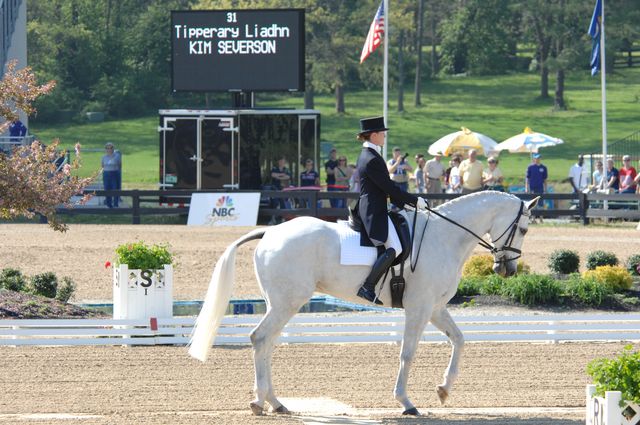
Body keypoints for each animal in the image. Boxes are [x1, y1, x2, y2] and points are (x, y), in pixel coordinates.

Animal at [188, 191, 536, 414]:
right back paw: (261, 402)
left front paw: (444, 389)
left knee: (267, 344)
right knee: (260, 338)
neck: (444, 237)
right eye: (523, 228)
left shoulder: (435, 307)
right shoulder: (420, 307)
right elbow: (407, 353)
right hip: (288, 302)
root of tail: (270, 232)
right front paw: (406, 403)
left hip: (281, 303)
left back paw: (276, 402)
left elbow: (460, 340)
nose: (506, 269)